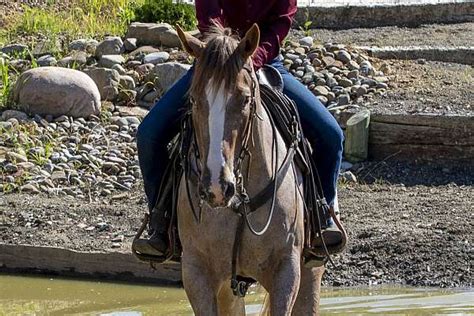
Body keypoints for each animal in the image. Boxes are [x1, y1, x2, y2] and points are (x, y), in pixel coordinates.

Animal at [176, 23, 324, 314]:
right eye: (194, 100)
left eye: (244, 100)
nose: (217, 187)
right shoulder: (196, 272)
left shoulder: (287, 269)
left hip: (310, 271)